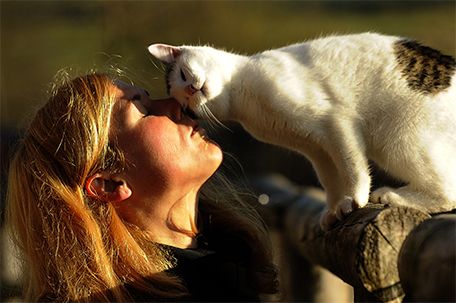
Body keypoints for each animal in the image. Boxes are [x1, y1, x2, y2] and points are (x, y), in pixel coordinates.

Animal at [149, 32, 456, 230]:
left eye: (183, 75)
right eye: (186, 107)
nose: (191, 90)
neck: (242, 97)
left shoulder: (335, 121)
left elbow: (353, 168)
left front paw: (356, 199)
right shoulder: (315, 147)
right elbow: (331, 180)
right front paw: (334, 210)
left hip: (398, 139)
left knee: (447, 191)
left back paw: (392, 196)